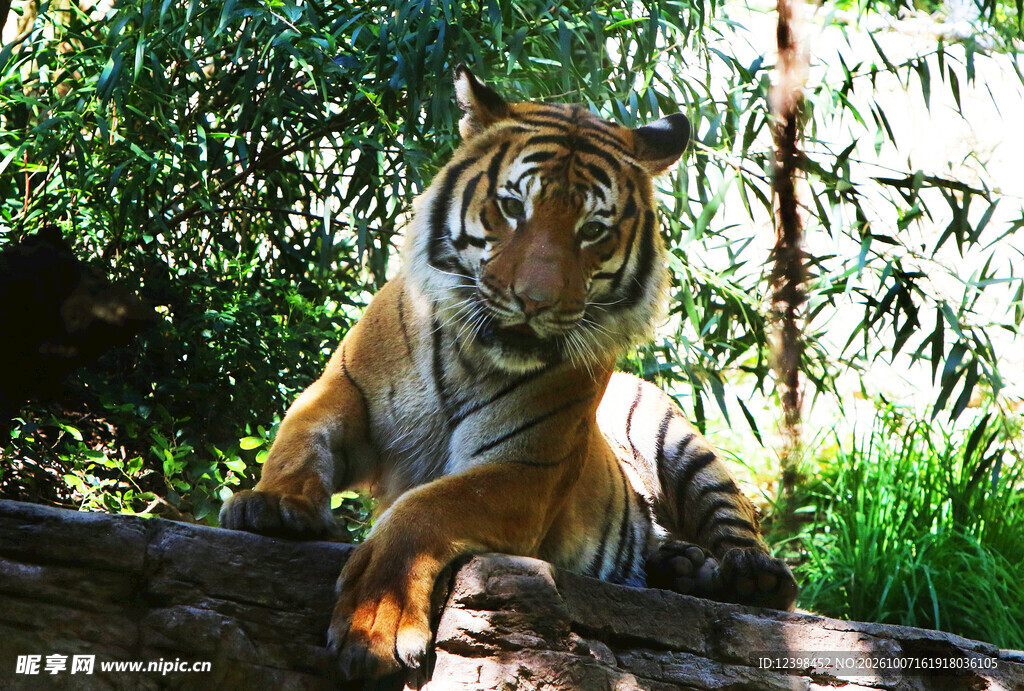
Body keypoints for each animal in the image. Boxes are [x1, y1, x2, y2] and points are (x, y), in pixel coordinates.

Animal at [220, 65, 797, 679]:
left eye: (593, 230)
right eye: (513, 206)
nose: (534, 301)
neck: (468, 355)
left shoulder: (525, 468)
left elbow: (426, 506)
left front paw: (375, 624)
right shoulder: (339, 391)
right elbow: (297, 441)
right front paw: (271, 504)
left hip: (675, 437)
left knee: (745, 536)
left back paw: (746, 576)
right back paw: (680, 564)